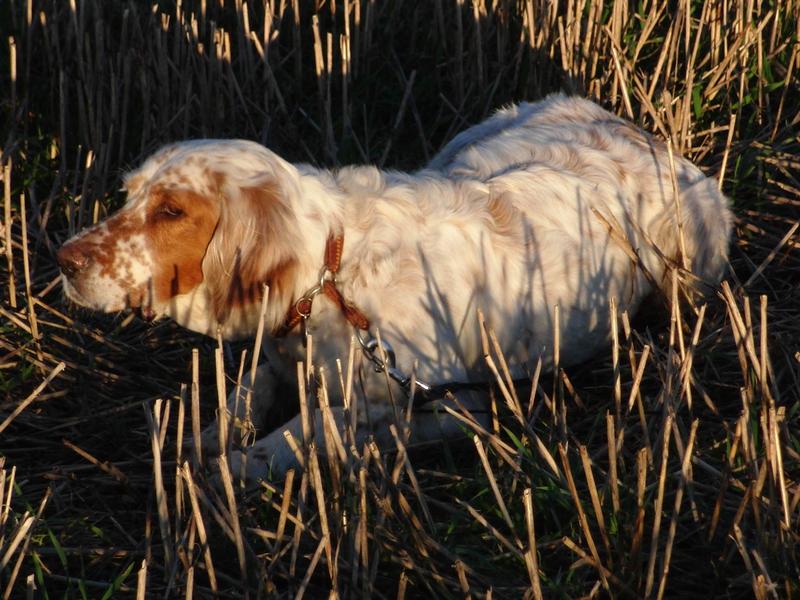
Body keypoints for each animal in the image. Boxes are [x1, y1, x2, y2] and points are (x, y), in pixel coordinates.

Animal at [56, 95, 732, 488]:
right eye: (128, 197)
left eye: (171, 211)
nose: (64, 260)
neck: (334, 275)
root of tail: (643, 133)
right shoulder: (283, 356)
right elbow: (245, 399)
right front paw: (199, 441)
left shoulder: (442, 395)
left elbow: (304, 431)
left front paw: (226, 471)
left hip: (688, 273)